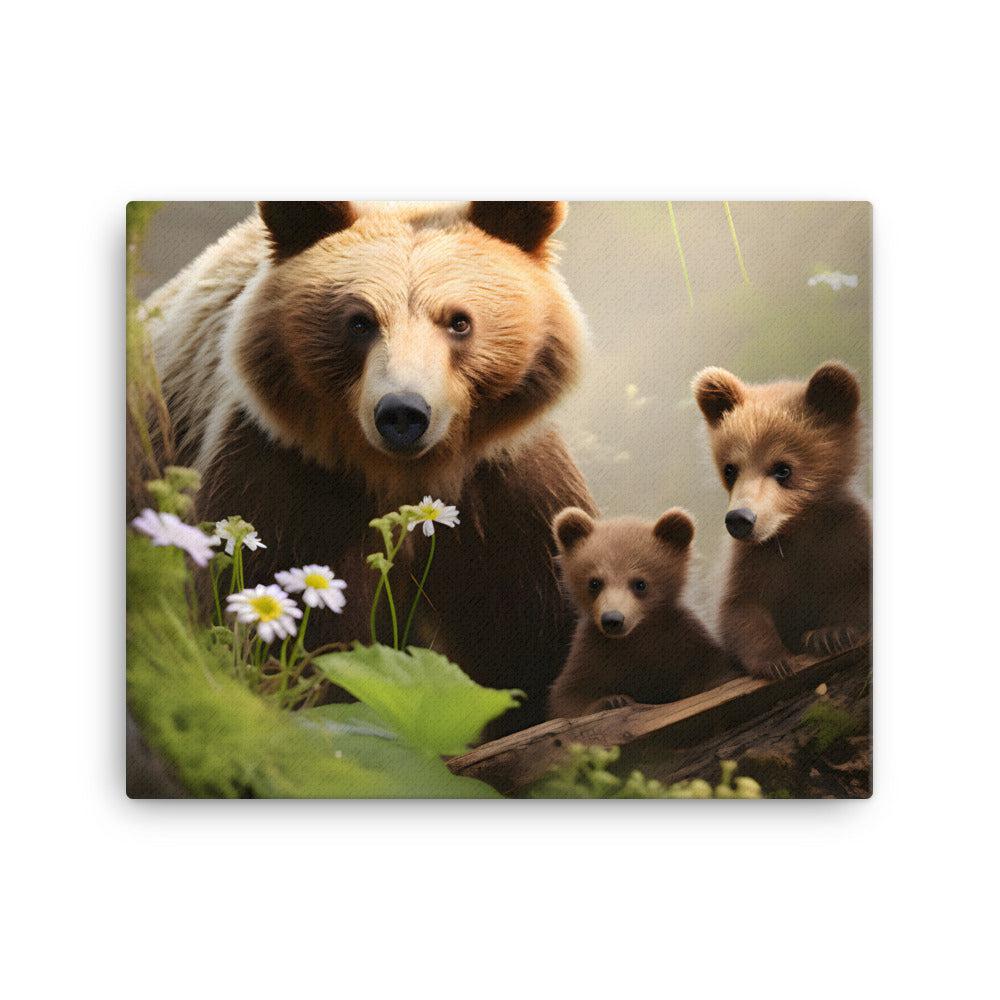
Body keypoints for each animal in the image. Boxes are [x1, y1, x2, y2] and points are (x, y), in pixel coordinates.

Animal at [145, 201, 596, 735]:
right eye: (360, 321)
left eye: (459, 321)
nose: (403, 412)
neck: (404, 478)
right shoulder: (284, 480)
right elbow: (257, 612)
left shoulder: (505, 497)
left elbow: (531, 637)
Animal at [547, 506, 741, 719]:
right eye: (594, 582)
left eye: (640, 583)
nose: (612, 619)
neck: (639, 633)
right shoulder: (592, 652)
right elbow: (568, 696)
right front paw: (613, 700)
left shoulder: (683, 638)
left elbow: (715, 671)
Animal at [692, 361, 872, 680]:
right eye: (730, 469)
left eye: (783, 469)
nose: (740, 519)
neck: (797, 527)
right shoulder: (756, 560)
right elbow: (741, 608)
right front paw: (774, 660)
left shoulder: (848, 537)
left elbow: (859, 588)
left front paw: (831, 633)